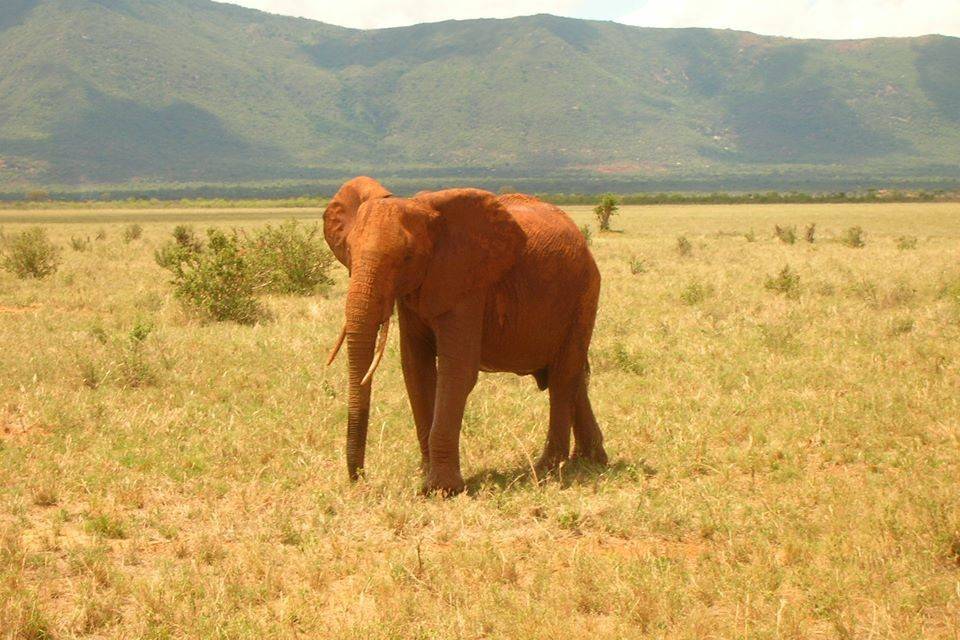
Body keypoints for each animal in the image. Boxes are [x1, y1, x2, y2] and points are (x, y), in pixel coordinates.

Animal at [322, 176, 608, 496]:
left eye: (407, 257)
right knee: (573, 376)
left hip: (584, 292)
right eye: (348, 251)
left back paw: (549, 468)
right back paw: (589, 461)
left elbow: (457, 371)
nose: (360, 478)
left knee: (563, 376)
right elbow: (415, 369)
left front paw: (441, 490)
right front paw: (426, 476)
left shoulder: (466, 283)